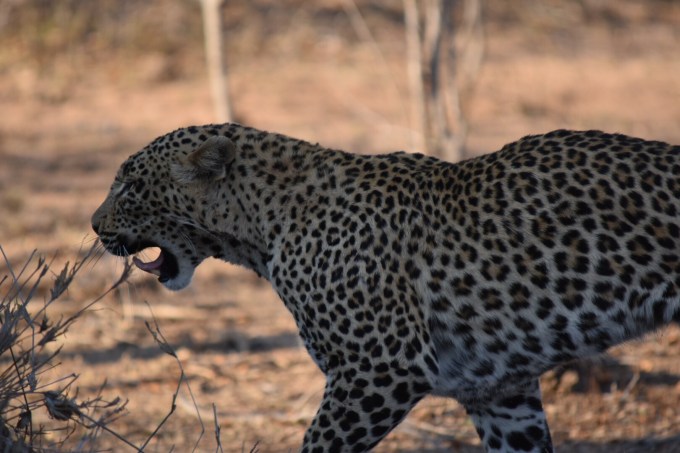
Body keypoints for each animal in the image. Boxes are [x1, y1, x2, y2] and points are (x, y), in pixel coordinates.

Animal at [92, 123, 680, 452]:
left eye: (128, 186)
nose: (94, 227)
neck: (261, 227)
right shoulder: (500, 393)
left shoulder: (381, 367)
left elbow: (317, 446)